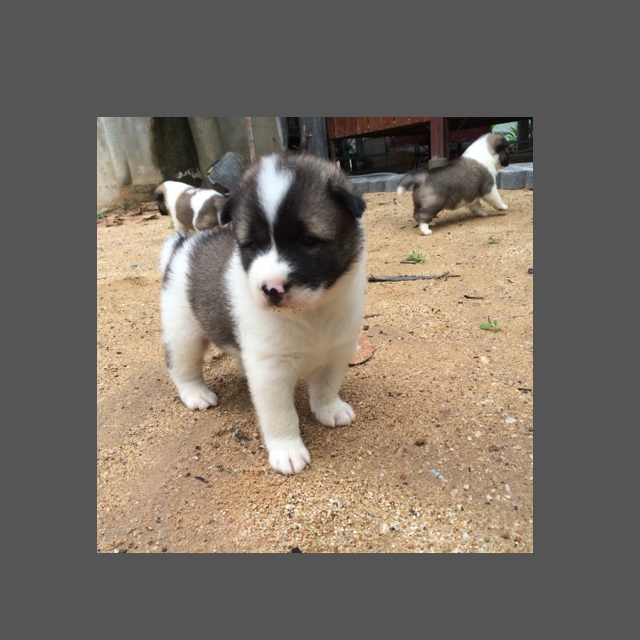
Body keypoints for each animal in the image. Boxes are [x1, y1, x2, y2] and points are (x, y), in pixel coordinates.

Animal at [159, 153, 367, 475]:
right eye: (252, 244)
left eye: (308, 241)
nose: (271, 288)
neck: (309, 312)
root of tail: (183, 246)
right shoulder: (272, 371)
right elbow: (280, 415)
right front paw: (287, 450)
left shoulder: (337, 350)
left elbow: (326, 386)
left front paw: (329, 409)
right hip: (183, 331)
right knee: (182, 366)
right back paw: (195, 394)